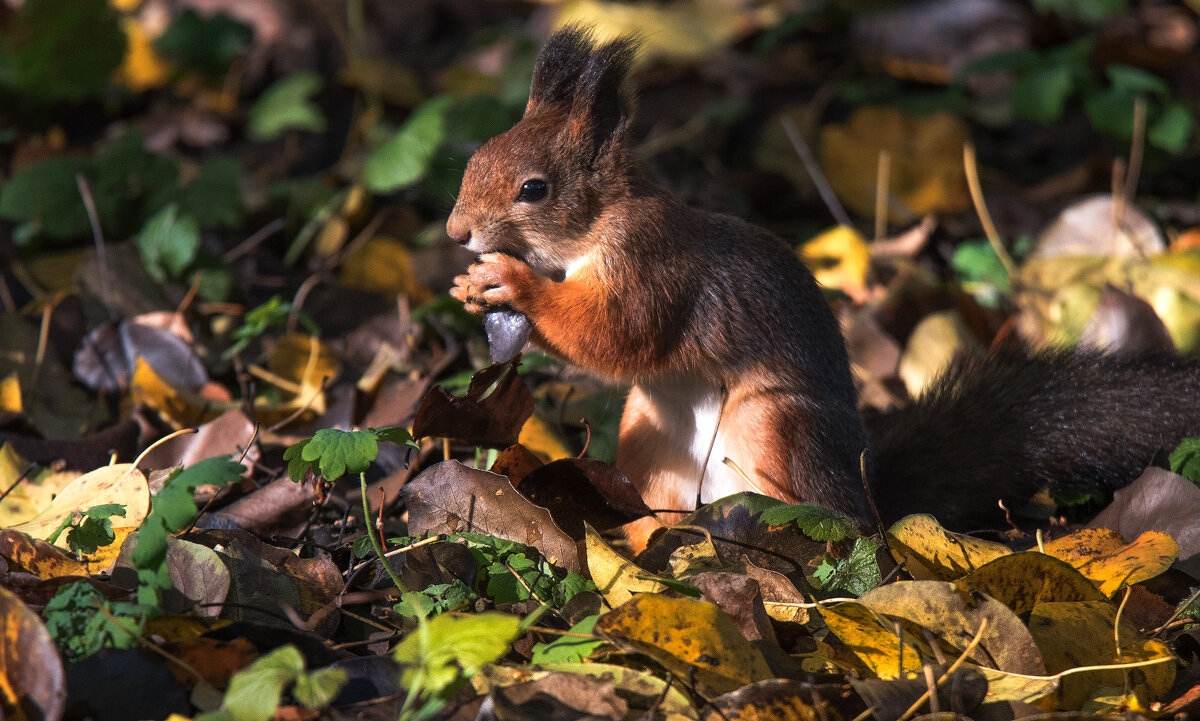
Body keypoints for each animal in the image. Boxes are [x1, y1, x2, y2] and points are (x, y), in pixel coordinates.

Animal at [446, 28, 1200, 544]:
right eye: (475, 156)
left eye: (533, 189)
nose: (455, 232)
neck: (591, 231)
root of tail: (870, 498)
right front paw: (467, 285)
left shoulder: (652, 263)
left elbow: (617, 334)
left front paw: (511, 282)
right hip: (647, 434)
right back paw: (639, 543)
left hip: (777, 427)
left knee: (828, 520)